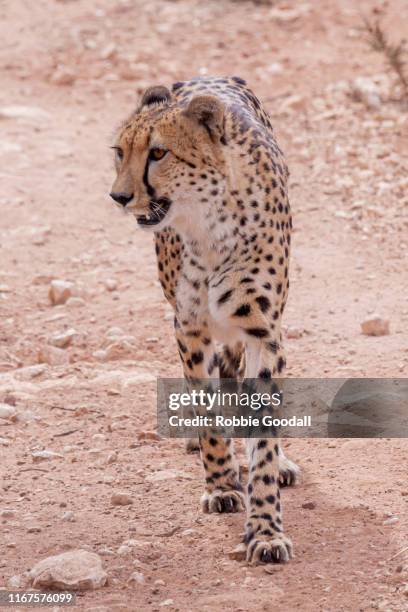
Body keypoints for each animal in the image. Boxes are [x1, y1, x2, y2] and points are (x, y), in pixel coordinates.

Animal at [111, 76, 300, 564]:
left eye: (158, 152)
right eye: (119, 151)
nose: (119, 196)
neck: (212, 222)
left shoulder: (264, 330)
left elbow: (263, 430)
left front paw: (265, 528)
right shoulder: (190, 326)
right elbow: (207, 408)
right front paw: (220, 484)